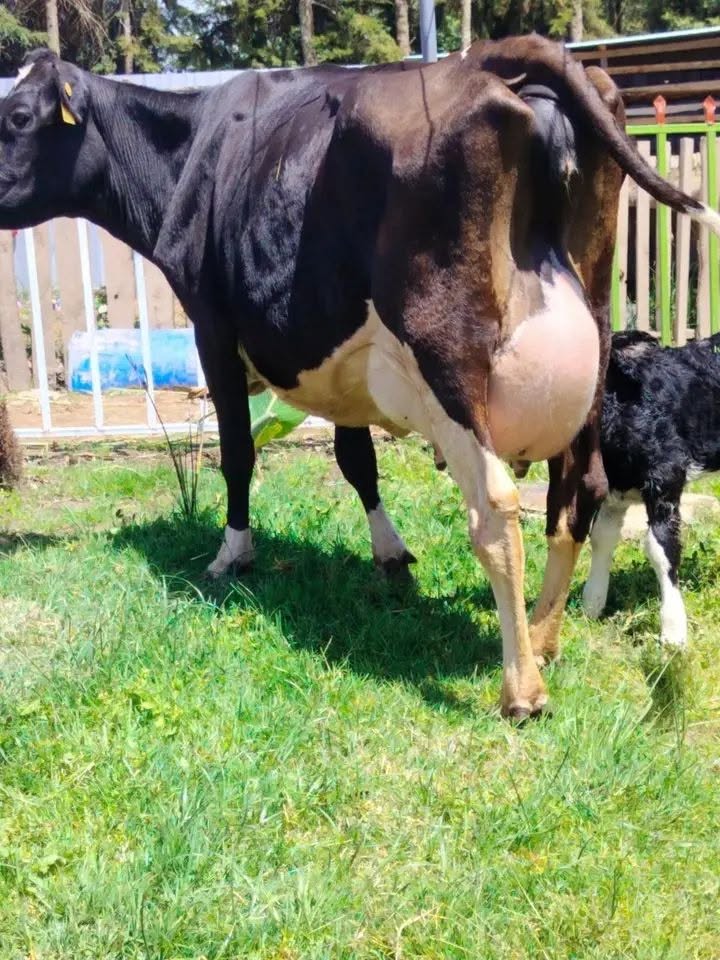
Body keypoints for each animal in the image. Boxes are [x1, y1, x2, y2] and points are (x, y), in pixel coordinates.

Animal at [582, 330, 720, 648]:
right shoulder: (615, 489)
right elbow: (601, 537)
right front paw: (591, 604)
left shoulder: (666, 475)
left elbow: (662, 546)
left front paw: (673, 633)